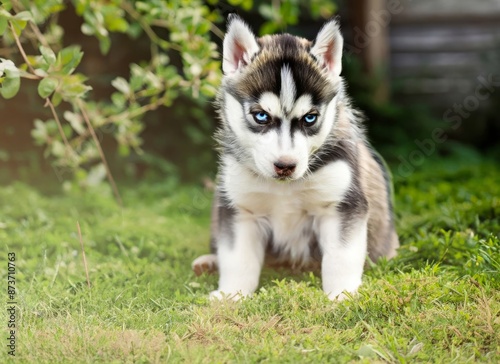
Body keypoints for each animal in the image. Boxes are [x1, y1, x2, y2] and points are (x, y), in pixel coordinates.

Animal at [191, 15, 398, 300]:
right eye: (261, 116)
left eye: (310, 118)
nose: (285, 166)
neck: (284, 188)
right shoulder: (242, 209)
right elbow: (237, 258)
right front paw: (231, 295)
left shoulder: (342, 204)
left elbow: (341, 257)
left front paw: (342, 295)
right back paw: (209, 262)